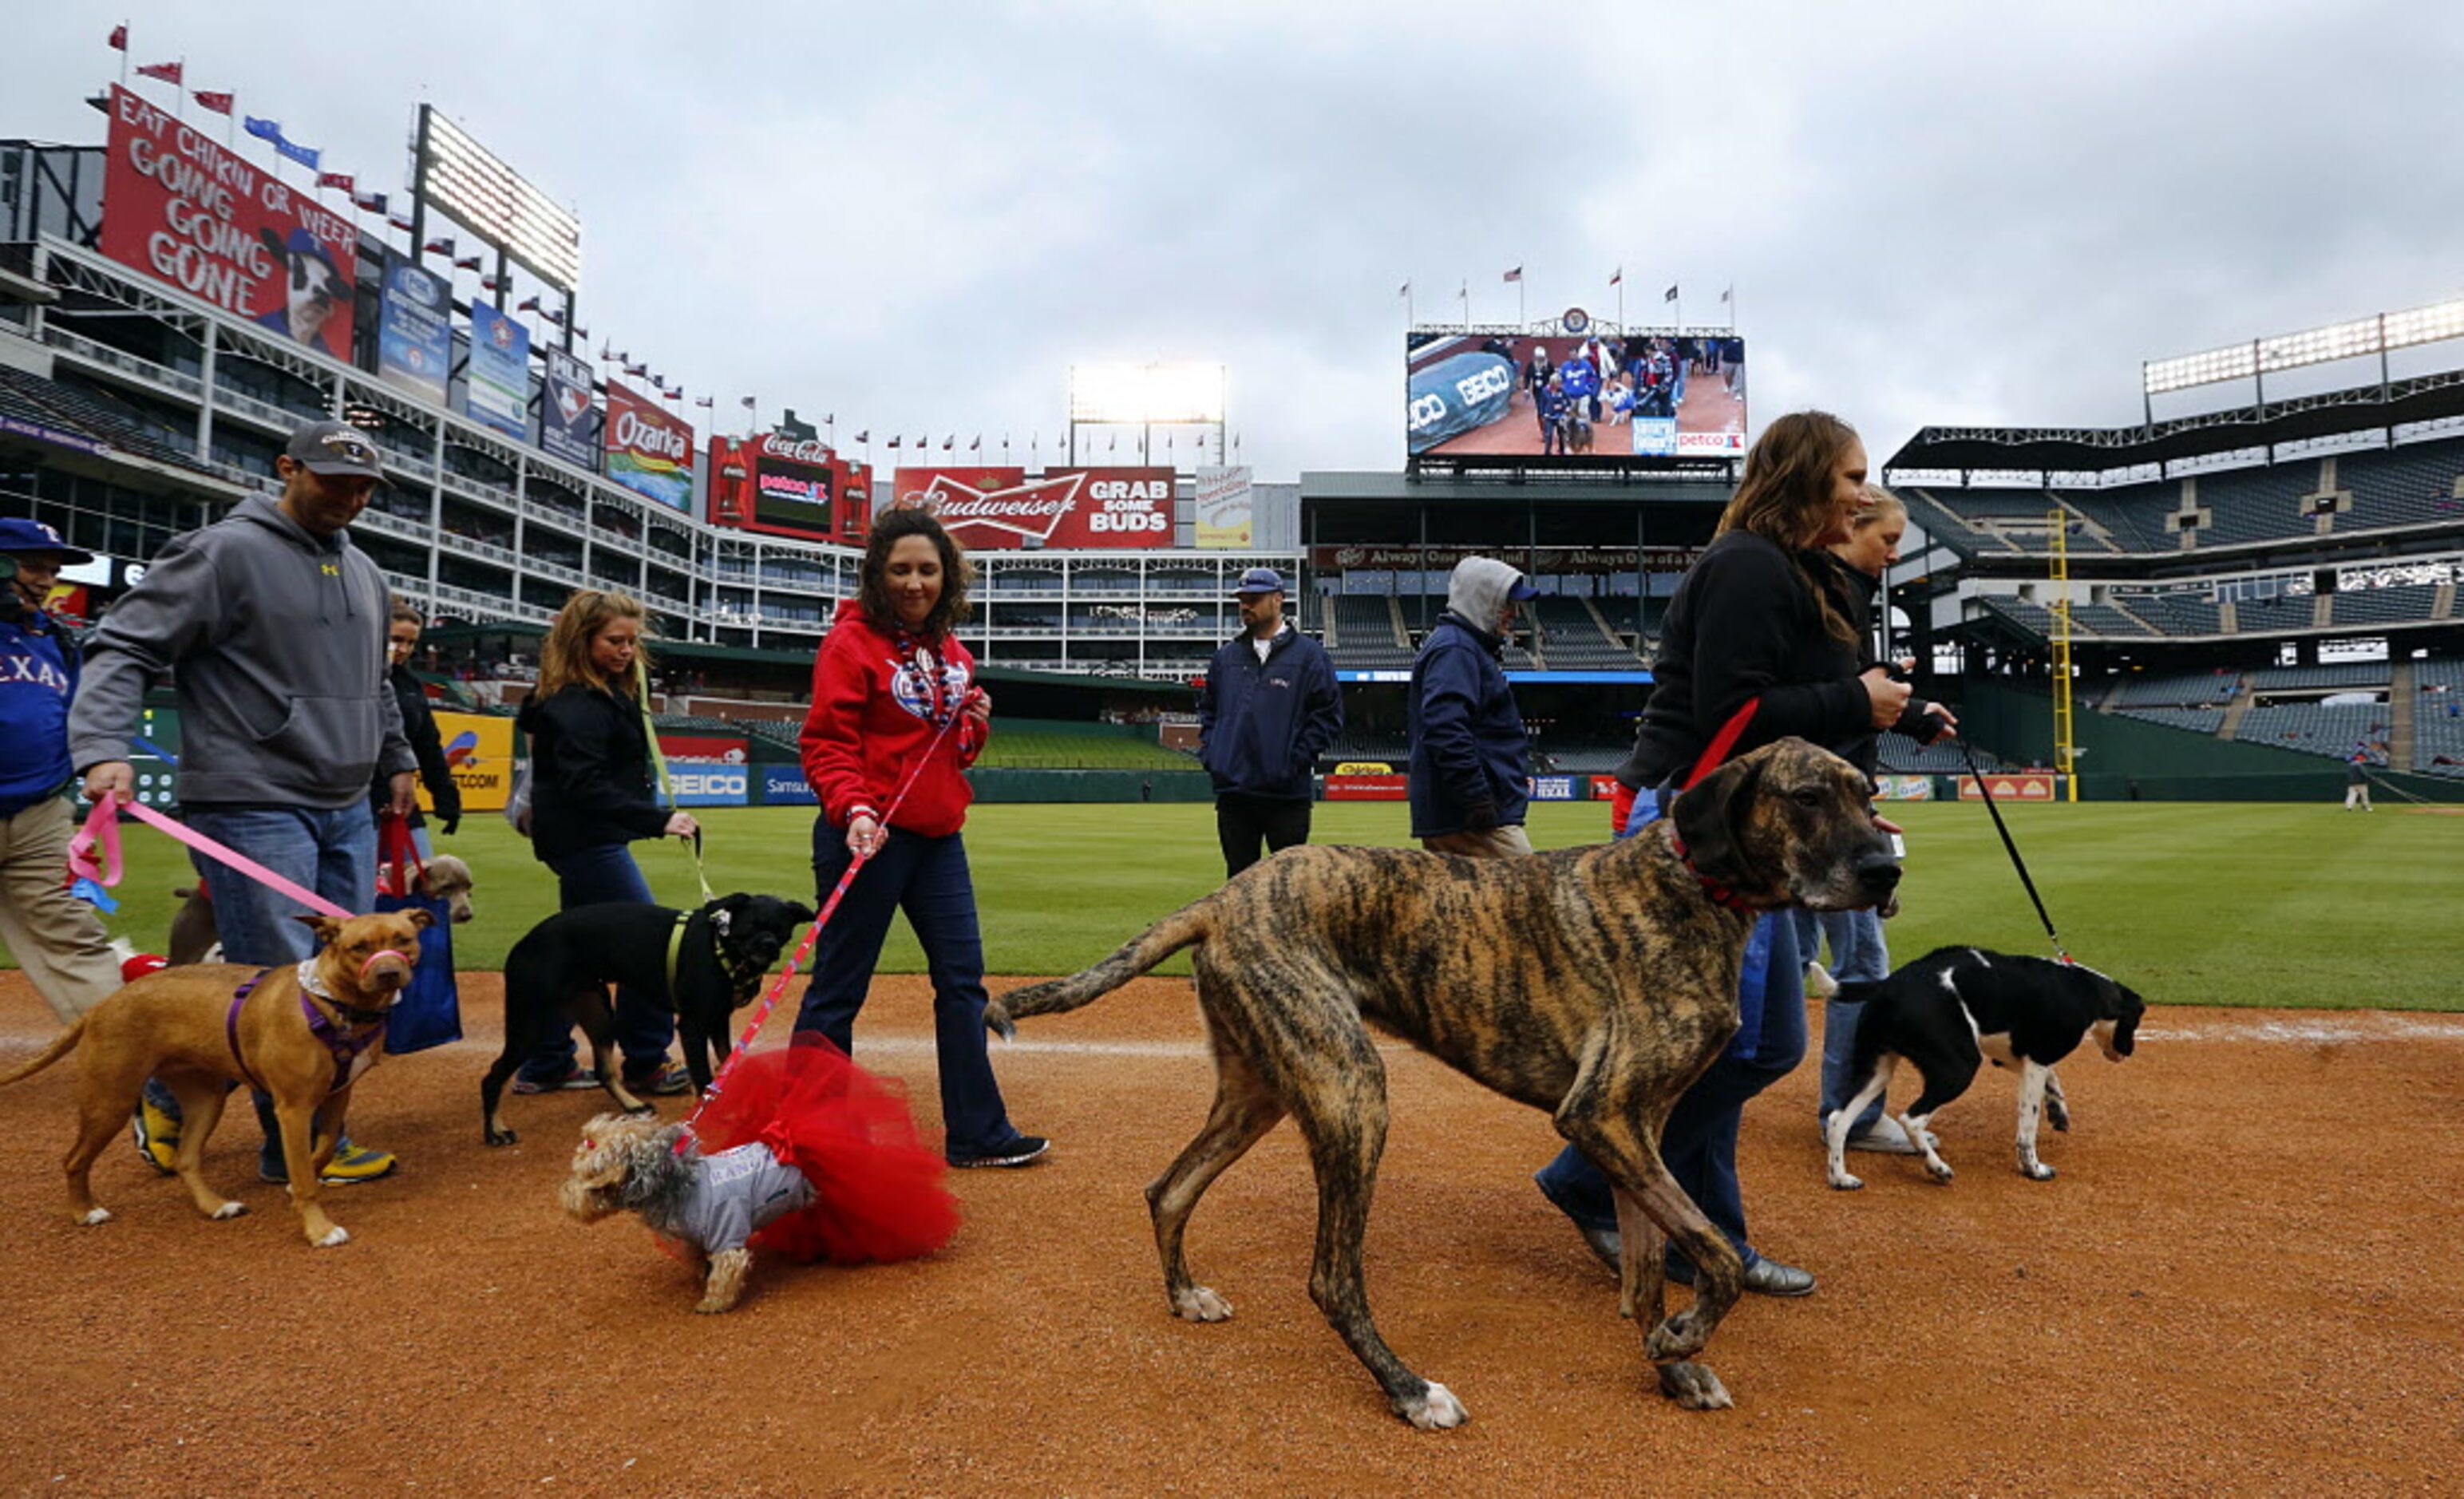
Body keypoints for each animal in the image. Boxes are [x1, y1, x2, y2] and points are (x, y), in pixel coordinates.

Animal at [2, 907, 436, 1247]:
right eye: (358, 947)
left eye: (404, 940)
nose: (389, 973)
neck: (331, 1001)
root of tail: (103, 1005)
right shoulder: (293, 1109)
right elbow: (304, 1175)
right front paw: (318, 1229)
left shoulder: (337, 1095)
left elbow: (325, 1148)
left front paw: (303, 1182)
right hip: (109, 1099)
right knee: (74, 1158)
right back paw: (84, 1212)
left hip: (205, 1100)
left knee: (185, 1159)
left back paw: (214, 1205)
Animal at [483, 887, 817, 1149]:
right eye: (750, 926)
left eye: (781, 930)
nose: (767, 945)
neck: (721, 947)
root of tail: (523, 944)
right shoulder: (693, 1025)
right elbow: (704, 1077)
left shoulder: (719, 1020)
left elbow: (726, 1064)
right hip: (530, 1023)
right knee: (493, 1076)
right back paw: (496, 1131)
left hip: (599, 1013)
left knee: (604, 1070)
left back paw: (632, 1104)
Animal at [1823, 947, 2148, 1192]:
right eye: (2136, 1021)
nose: (2130, 1051)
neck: (2083, 991)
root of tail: (1890, 983)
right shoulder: (2035, 1061)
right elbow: (2027, 1129)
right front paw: (2034, 1169)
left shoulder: (2016, 1057)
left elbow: (2053, 1080)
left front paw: (2058, 1110)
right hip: (1959, 1068)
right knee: (1911, 1119)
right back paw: (1938, 1168)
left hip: (1876, 1072)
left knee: (1838, 1120)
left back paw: (1841, 1178)